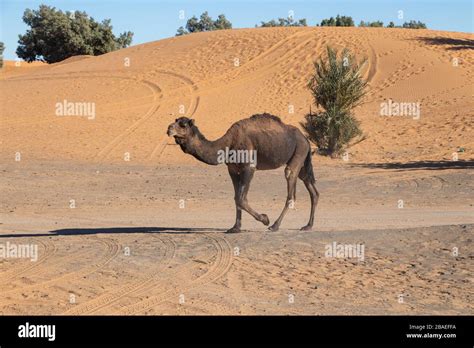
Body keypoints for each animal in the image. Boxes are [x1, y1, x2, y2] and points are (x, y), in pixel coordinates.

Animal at [167, 113, 318, 234]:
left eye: (183, 125)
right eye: (176, 120)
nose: (169, 128)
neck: (228, 144)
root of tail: (305, 138)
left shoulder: (248, 168)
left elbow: (241, 199)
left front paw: (265, 219)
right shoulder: (233, 170)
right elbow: (236, 198)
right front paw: (235, 228)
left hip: (298, 152)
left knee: (291, 189)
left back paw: (275, 225)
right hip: (302, 162)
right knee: (313, 191)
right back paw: (308, 226)